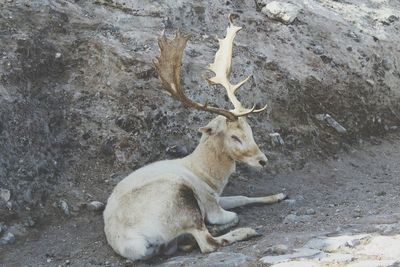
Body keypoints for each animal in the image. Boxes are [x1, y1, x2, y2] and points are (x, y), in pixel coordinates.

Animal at [101, 14, 286, 262]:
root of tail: (132, 243)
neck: (207, 177)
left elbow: (242, 197)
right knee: (207, 242)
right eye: (235, 136)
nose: (262, 160)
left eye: (250, 130)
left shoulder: (215, 196)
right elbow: (233, 212)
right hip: (178, 197)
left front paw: (279, 194)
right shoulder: (210, 203)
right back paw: (243, 231)